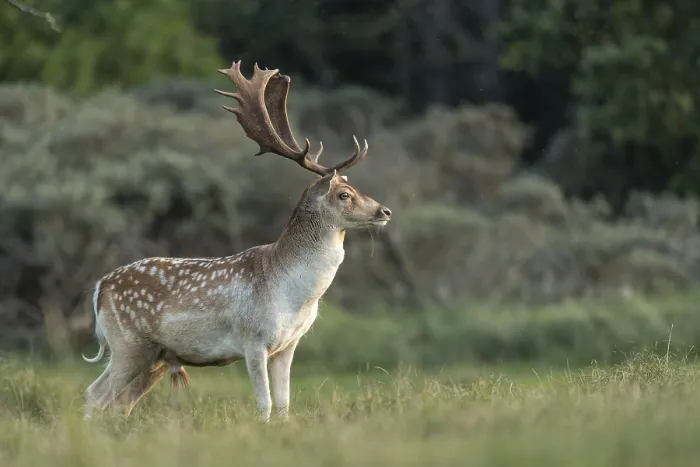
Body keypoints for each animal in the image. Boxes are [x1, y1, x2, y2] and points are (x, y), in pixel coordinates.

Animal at [80, 61, 393, 423]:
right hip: (129, 343)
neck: (292, 294)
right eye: (344, 194)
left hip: (154, 357)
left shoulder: (288, 346)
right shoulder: (252, 340)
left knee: (120, 404)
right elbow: (265, 404)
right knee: (94, 395)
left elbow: (285, 405)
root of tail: (100, 287)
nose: (384, 211)